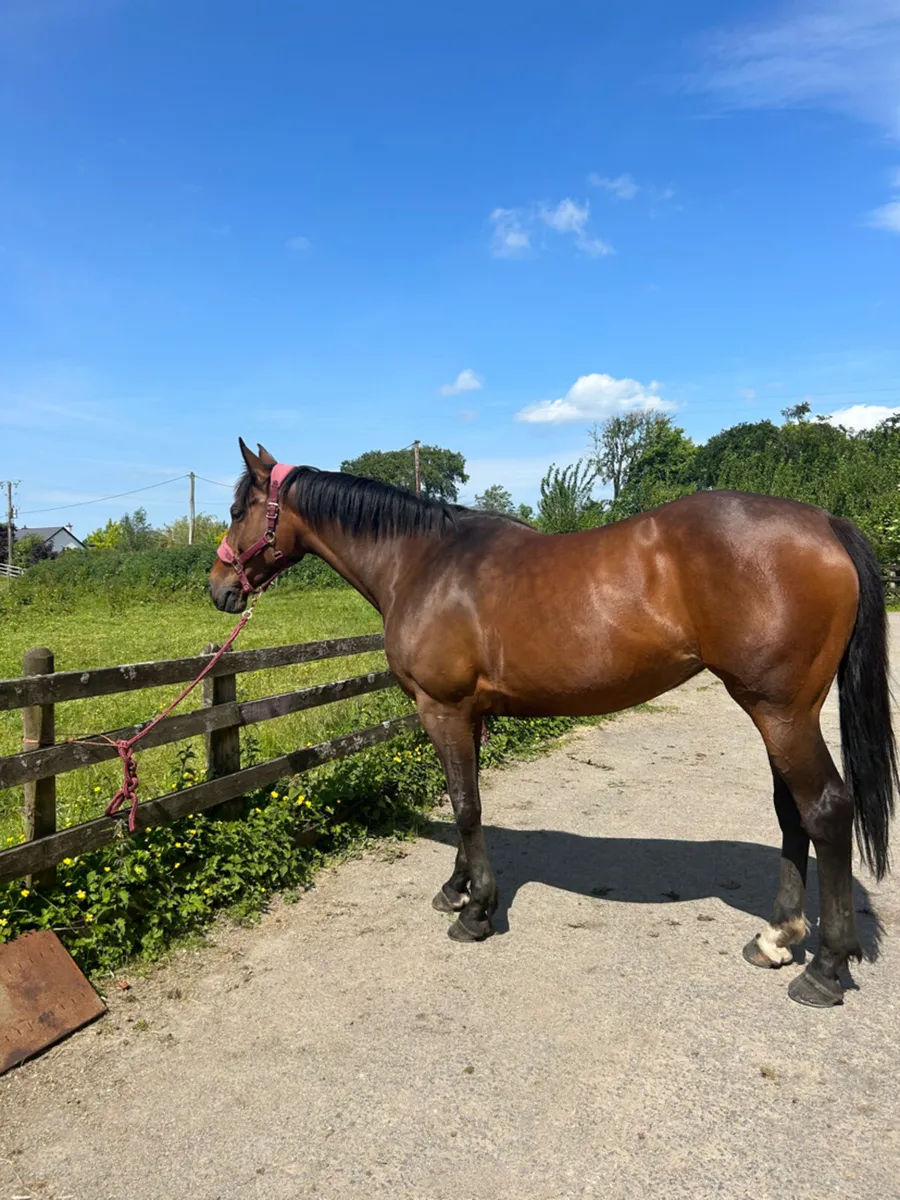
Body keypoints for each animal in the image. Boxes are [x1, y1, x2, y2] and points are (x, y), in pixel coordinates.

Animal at [209, 439, 896, 1008]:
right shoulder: (468, 714)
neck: (424, 562)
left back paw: (825, 969)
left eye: (240, 508)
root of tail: (825, 525)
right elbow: (468, 800)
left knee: (826, 810)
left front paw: (476, 913)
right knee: (793, 814)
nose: (219, 588)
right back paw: (776, 939)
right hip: (781, 714)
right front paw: (458, 887)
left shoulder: (442, 708)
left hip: (781, 713)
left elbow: (465, 806)